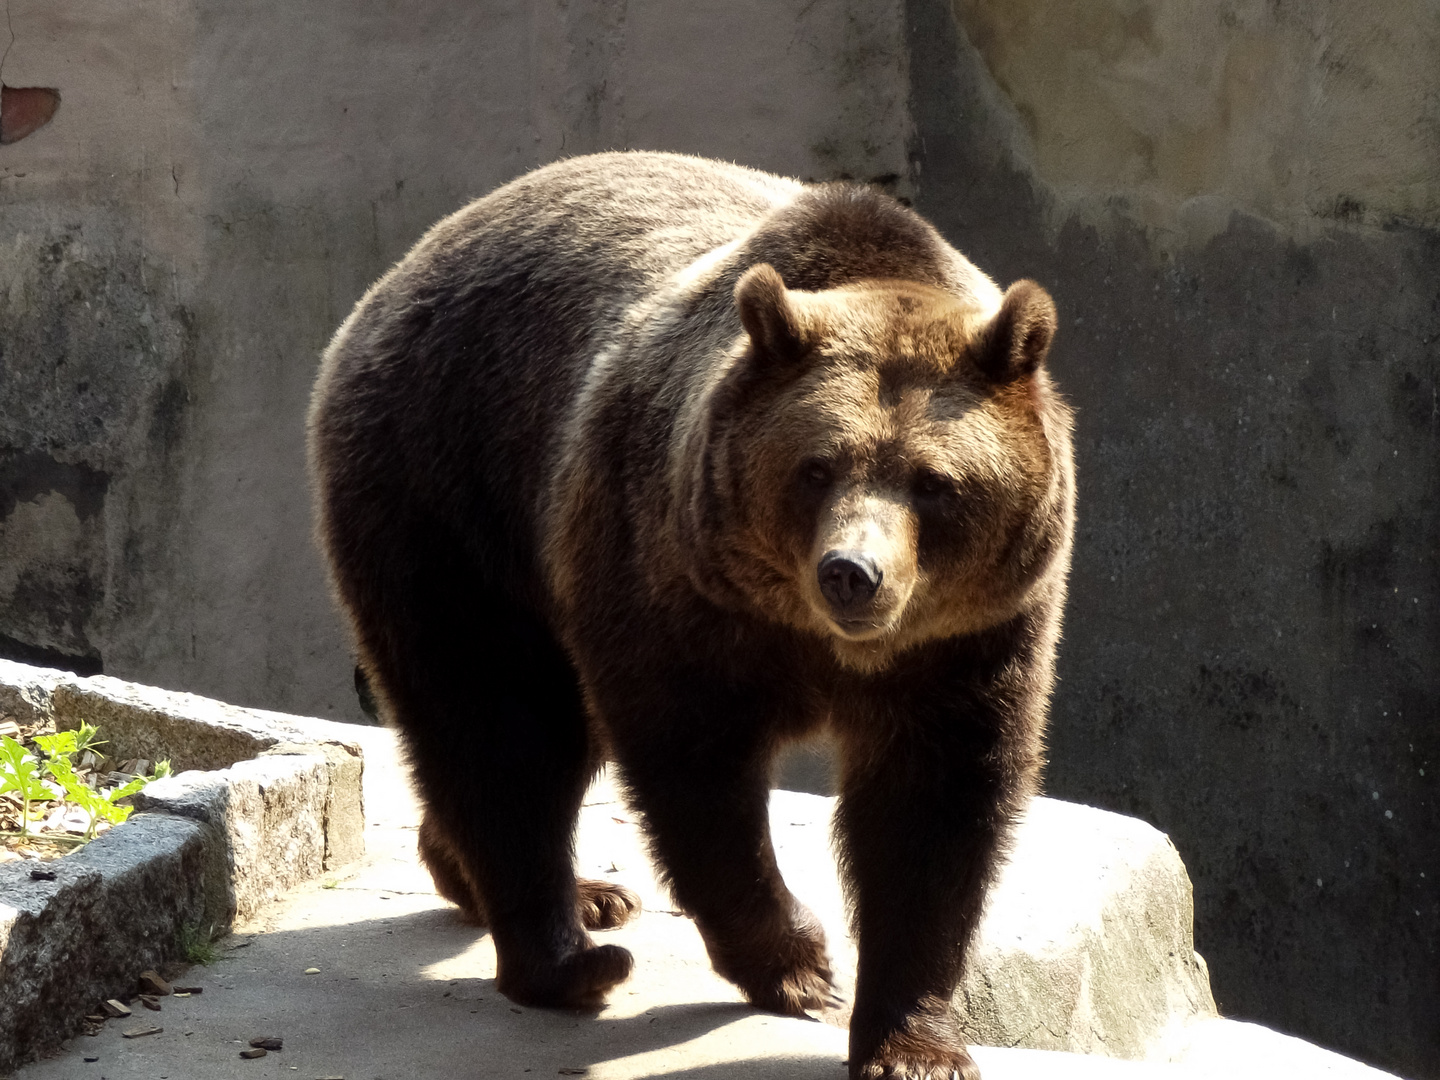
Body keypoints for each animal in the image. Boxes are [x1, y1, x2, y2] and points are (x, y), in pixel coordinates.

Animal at [306, 150, 1071, 1080]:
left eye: (933, 481)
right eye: (817, 467)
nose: (853, 575)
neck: (815, 640)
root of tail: (394, 276)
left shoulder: (970, 638)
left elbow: (935, 808)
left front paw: (912, 1044)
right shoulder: (674, 580)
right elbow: (696, 776)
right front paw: (800, 965)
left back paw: (510, 881)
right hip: (455, 492)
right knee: (503, 723)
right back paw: (571, 951)